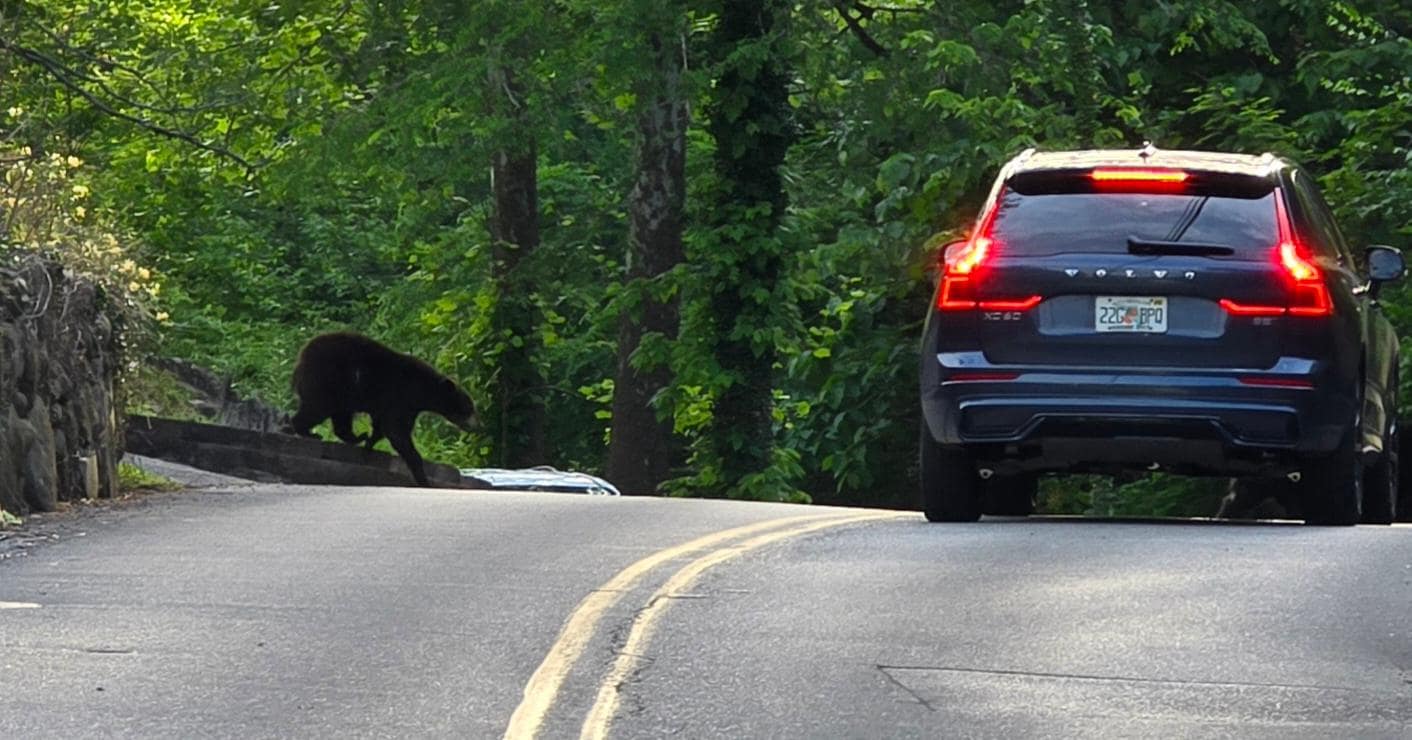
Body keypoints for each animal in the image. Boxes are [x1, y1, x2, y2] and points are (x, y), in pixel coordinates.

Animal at [288, 332, 477, 485]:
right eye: (469, 408)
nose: (478, 425)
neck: (423, 391)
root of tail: (302, 356)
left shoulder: (401, 406)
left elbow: (383, 426)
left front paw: (369, 443)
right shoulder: (401, 398)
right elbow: (397, 431)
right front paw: (422, 477)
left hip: (342, 392)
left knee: (341, 417)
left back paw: (356, 437)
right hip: (327, 380)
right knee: (317, 408)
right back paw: (308, 432)